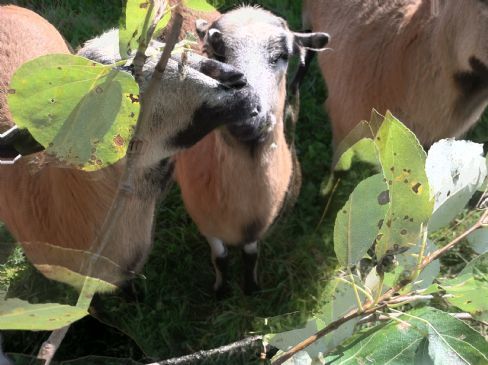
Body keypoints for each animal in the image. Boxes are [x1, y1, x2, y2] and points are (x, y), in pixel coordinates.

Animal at [173, 4, 330, 296]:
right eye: (217, 54)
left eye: (282, 56)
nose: (246, 111)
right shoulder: (206, 223)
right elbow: (221, 257)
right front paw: (222, 291)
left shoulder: (259, 226)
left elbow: (250, 255)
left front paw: (251, 288)